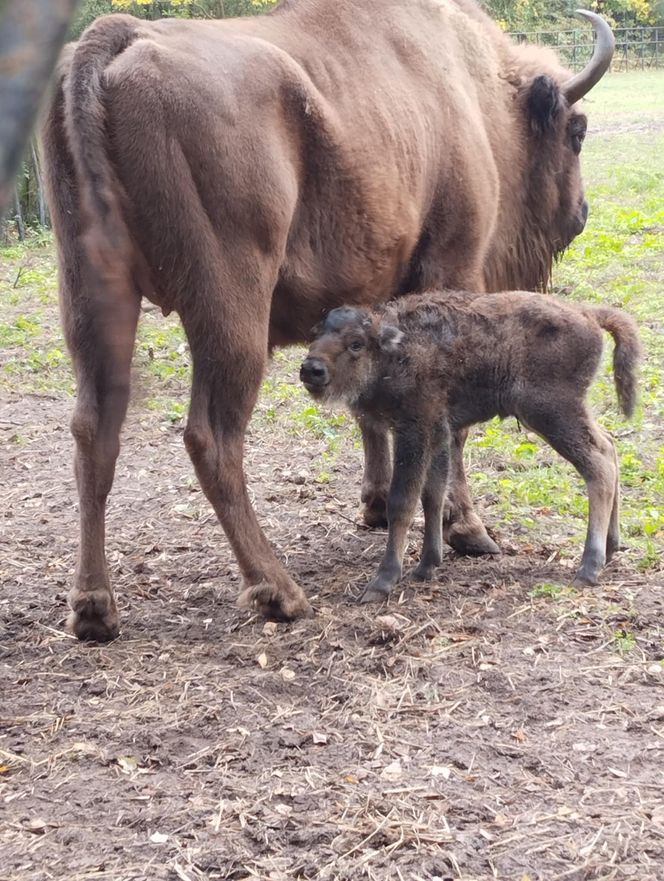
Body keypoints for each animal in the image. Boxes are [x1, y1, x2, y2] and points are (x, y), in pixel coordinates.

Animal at [300, 292, 640, 600]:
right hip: (565, 414)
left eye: (356, 343)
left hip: (552, 414)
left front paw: (382, 581)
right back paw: (611, 547)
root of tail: (587, 313)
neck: (393, 351)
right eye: (316, 334)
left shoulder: (414, 431)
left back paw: (588, 567)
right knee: (609, 445)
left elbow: (403, 501)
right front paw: (426, 566)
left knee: (598, 466)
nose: (311, 369)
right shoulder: (438, 434)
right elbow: (433, 494)